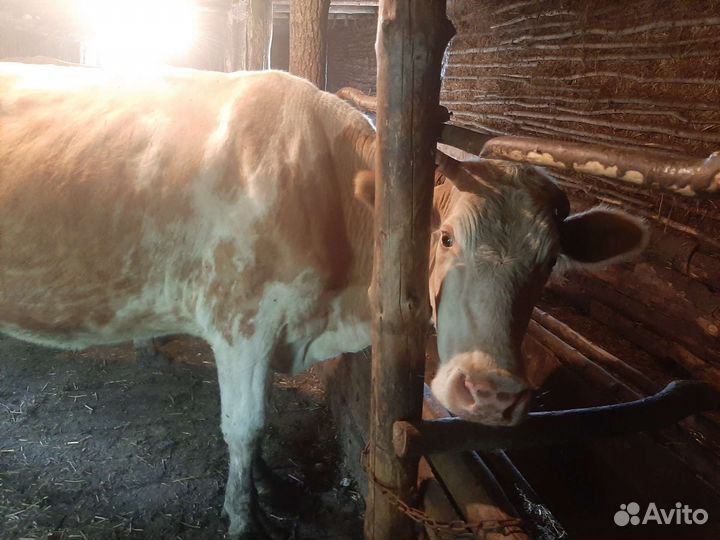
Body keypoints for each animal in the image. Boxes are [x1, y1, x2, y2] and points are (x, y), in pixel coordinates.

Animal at [0, 62, 648, 538]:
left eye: (550, 261)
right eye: (444, 237)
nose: (490, 392)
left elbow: (258, 419)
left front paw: (269, 485)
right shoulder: (241, 320)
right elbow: (245, 425)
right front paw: (245, 519)